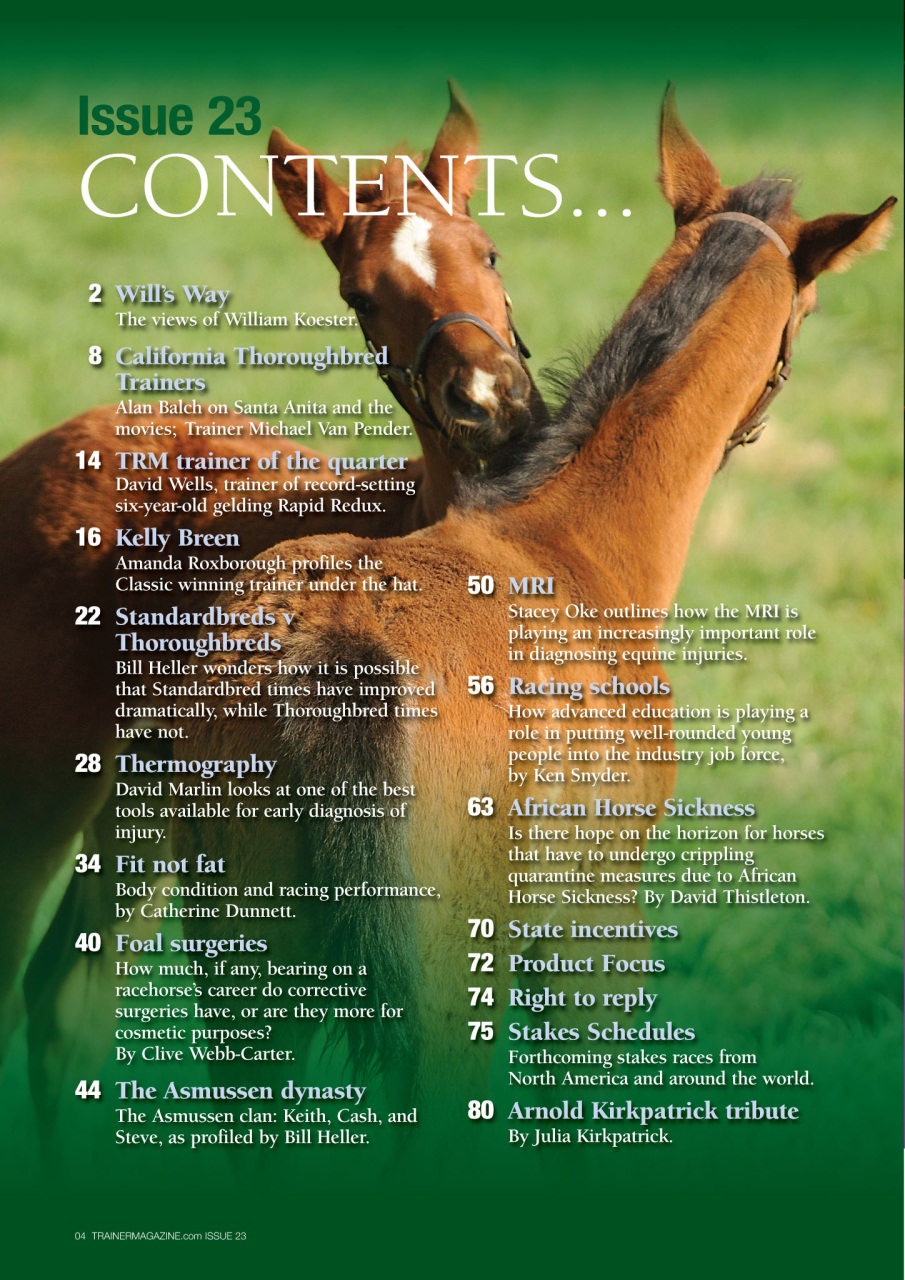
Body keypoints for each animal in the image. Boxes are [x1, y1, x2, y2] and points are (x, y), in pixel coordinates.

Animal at [0, 83, 548, 1157]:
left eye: (491, 251)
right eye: (361, 297)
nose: (488, 405)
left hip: (148, 801)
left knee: (64, 998)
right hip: (36, 787)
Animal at [175, 88, 893, 1154]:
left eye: (491, 255)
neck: (567, 541)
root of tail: (330, 644)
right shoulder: (594, 931)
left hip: (249, 988)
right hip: (438, 1001)